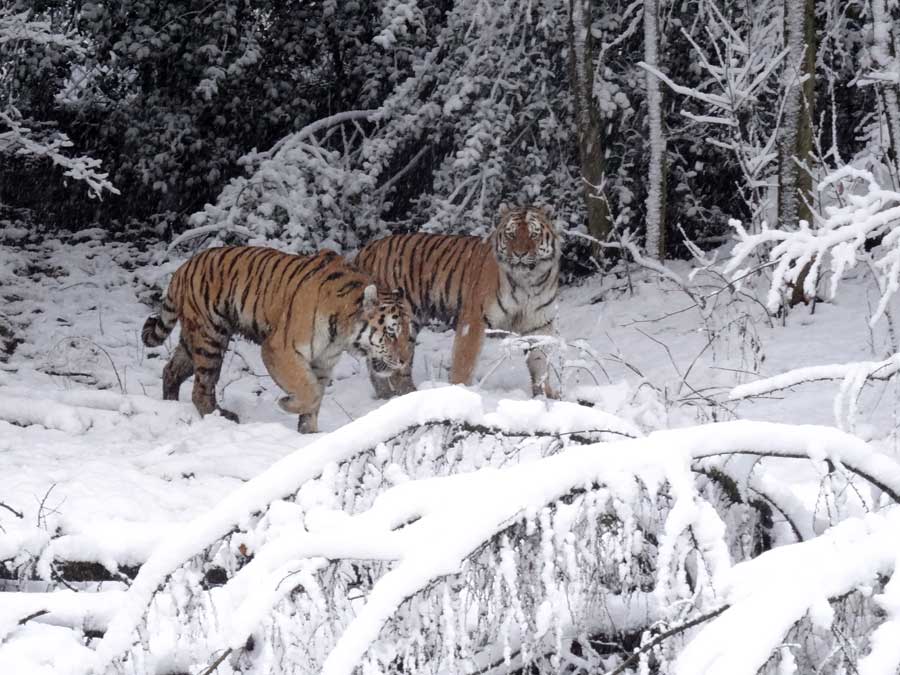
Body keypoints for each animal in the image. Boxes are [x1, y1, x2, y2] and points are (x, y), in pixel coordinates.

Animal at [142, 247, 414, 434]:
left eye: (407, 333)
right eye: (391, 332)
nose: (403, 361)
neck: (342, 335)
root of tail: (184, 267)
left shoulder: (323, 361)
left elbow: (315, 396)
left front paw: (309, 434)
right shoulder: (279, 349)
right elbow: (309, 390)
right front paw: (286, 404)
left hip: (194, 340)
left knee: (171, 370)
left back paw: (170, 404)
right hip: (210, 337)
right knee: (201, 387)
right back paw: (221, 417)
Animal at [356, 203, 560, 398]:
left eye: (533, 234)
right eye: (511, 234)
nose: (519, 254)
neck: (528, 282)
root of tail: (367, 248)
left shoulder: (538, 323)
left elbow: (541, 360)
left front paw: (546, 394)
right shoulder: (475, 319)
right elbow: (465, 361)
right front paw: (459, 390)